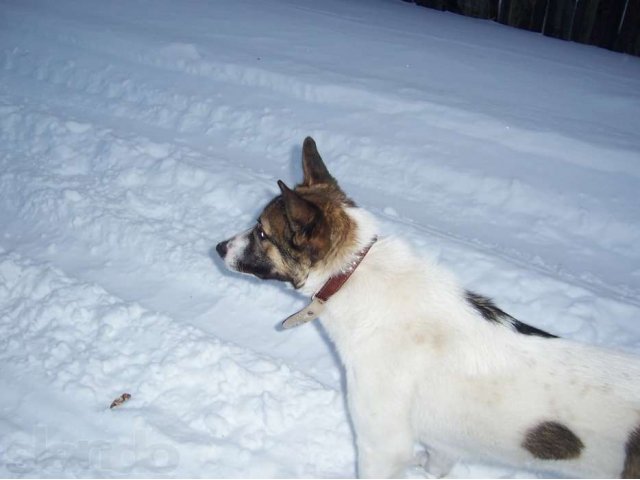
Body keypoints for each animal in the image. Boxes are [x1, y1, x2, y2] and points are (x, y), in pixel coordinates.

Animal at [216, 137, 640, 478]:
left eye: (261, 232)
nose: (218, 247)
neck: (353, 273)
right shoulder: (442, 443)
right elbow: (436, 462)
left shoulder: (381, 444)